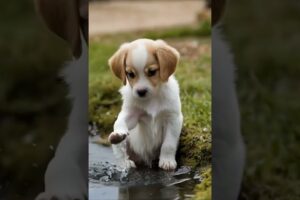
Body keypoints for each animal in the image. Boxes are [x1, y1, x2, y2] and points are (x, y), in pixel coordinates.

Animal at [108, 38, 183, 170]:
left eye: (152, 72)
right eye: (130, 74)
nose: (141, 92)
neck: (152, 98)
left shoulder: (173, 119)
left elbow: (168, 144)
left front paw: (167, 161)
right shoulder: (132, 115)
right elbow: (120, 122)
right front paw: (119, 132)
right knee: (120, 150)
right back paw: (125, 162)